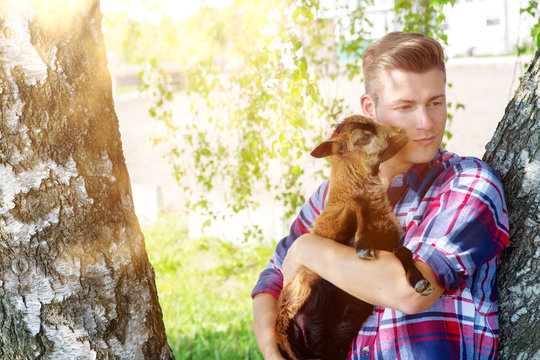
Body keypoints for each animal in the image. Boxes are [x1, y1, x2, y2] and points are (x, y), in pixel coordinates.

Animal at [276, 115, 432, 360]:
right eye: (364, 137)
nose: (402, 131)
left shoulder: (389, 244)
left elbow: (404, 252)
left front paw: (420, 282)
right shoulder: (331, 230)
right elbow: (356, 203)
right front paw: (362, 247)